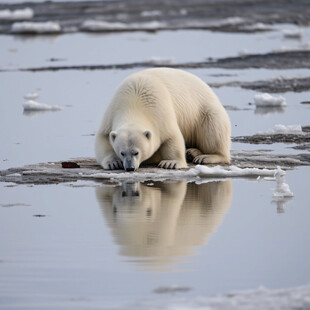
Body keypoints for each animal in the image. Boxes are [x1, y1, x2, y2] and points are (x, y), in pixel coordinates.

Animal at [94, 67, 230, 172]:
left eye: (136, 152)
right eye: (122, 153)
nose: (130, 168)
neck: (133, 101)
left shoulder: (159, 108)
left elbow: (171, 136)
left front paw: (171, 163)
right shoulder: (112, 111)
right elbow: (103, 137)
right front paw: (113, 162)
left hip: (206, 111)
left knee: (213, 130)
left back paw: (205, 156)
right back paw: (192, 152)